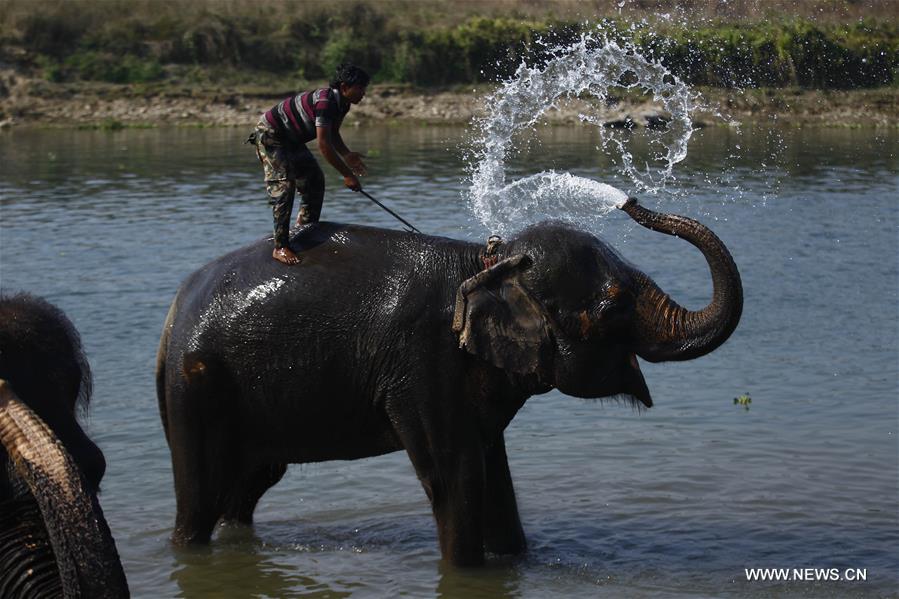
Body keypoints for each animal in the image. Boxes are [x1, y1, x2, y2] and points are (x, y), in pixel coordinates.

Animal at [158, 198, 740, 568]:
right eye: (613, 305)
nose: (630, 202)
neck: (488, 260)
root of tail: (174, 312)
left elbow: (494, 469)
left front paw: (516, 562)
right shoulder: (424, 364)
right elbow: (454, 475)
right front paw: (467, 571)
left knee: (249, 485)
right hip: (196, 389)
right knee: (201, 493)